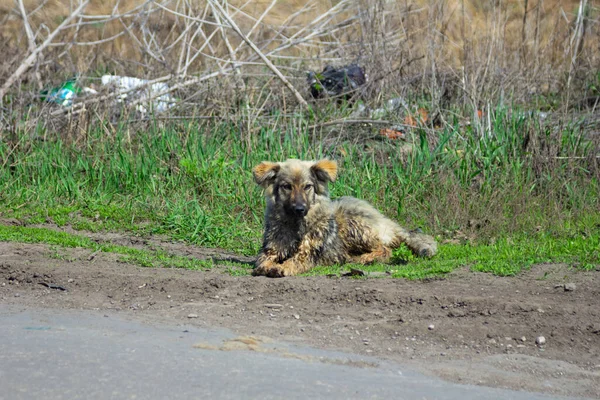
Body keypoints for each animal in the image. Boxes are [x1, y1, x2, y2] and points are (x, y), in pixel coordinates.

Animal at [251, 158, 438, 276]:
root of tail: (387, 221)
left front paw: (281, 268)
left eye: (307, 187)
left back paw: (365, 258)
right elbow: (261, 261)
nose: (300, 209)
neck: (296, 225)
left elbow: (293, 261)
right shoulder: (271, 250)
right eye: (287, 186)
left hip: (352, 223)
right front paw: (269, 266)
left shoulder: (307, 253)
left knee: (385, 249)